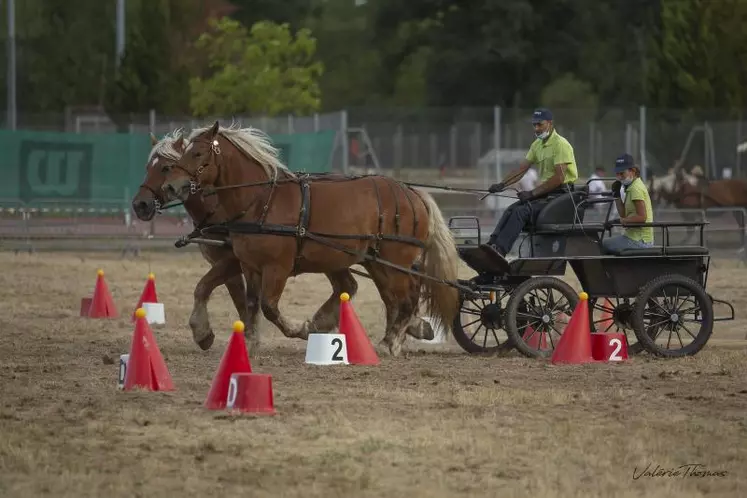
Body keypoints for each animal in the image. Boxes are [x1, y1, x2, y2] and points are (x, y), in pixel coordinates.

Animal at [162, 121, 462, 356]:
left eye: (198, 153)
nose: (171, 186)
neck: (261, 202)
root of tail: (412, 193)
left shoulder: (277, 268)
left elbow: (269, 307)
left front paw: (302, 328)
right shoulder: (249, 265)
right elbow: (249, 304)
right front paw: (247, 343)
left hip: (395, 260)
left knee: (408, 297)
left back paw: (392, 342)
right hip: (376, 261)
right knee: (393, 298)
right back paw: (395, 335)